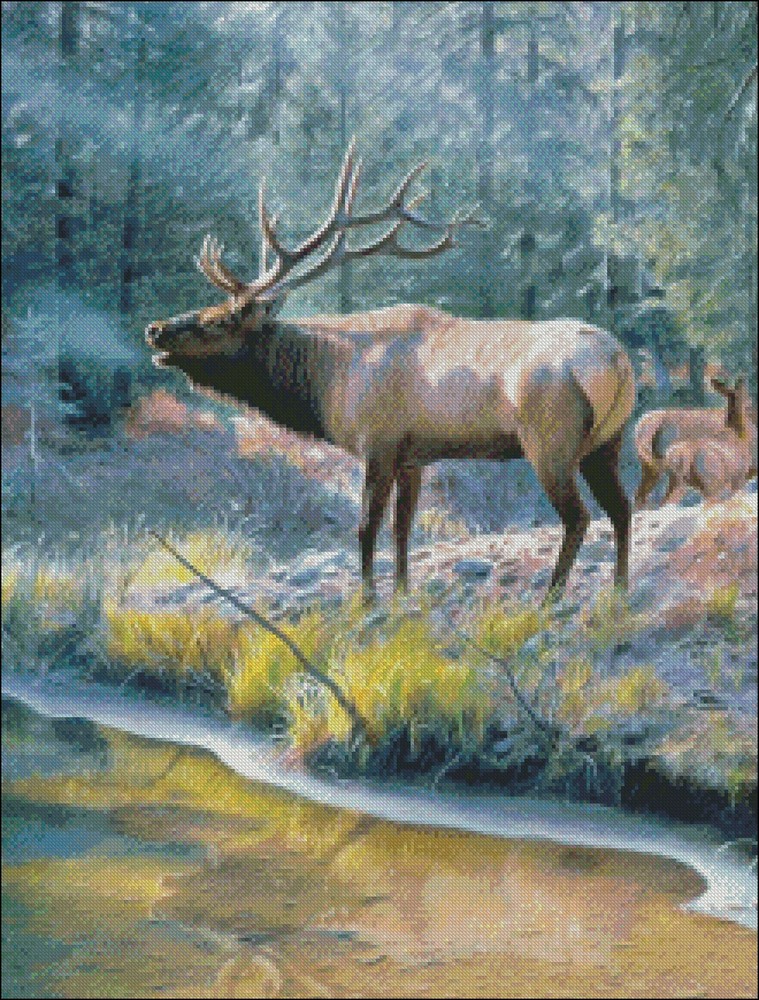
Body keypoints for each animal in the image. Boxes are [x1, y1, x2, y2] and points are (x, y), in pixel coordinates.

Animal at [145, 141, 636, 604]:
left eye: (218, 321)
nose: (156, 329)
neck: (331, 379)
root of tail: (616, 360)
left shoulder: (377, 443)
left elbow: (366, 527)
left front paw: (367, 599)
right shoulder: (413, 455)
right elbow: (403, 529)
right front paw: (401, 593)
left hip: (549, 441)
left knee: (579, 516)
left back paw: (550, 600)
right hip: (607, 443)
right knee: (622, 509)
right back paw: (618, 594)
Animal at [634, 377, 757, 508]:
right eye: (747, 396)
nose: (751, 405)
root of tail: (641, 430)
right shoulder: (739, 476)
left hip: (651, 467)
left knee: (641, 496)